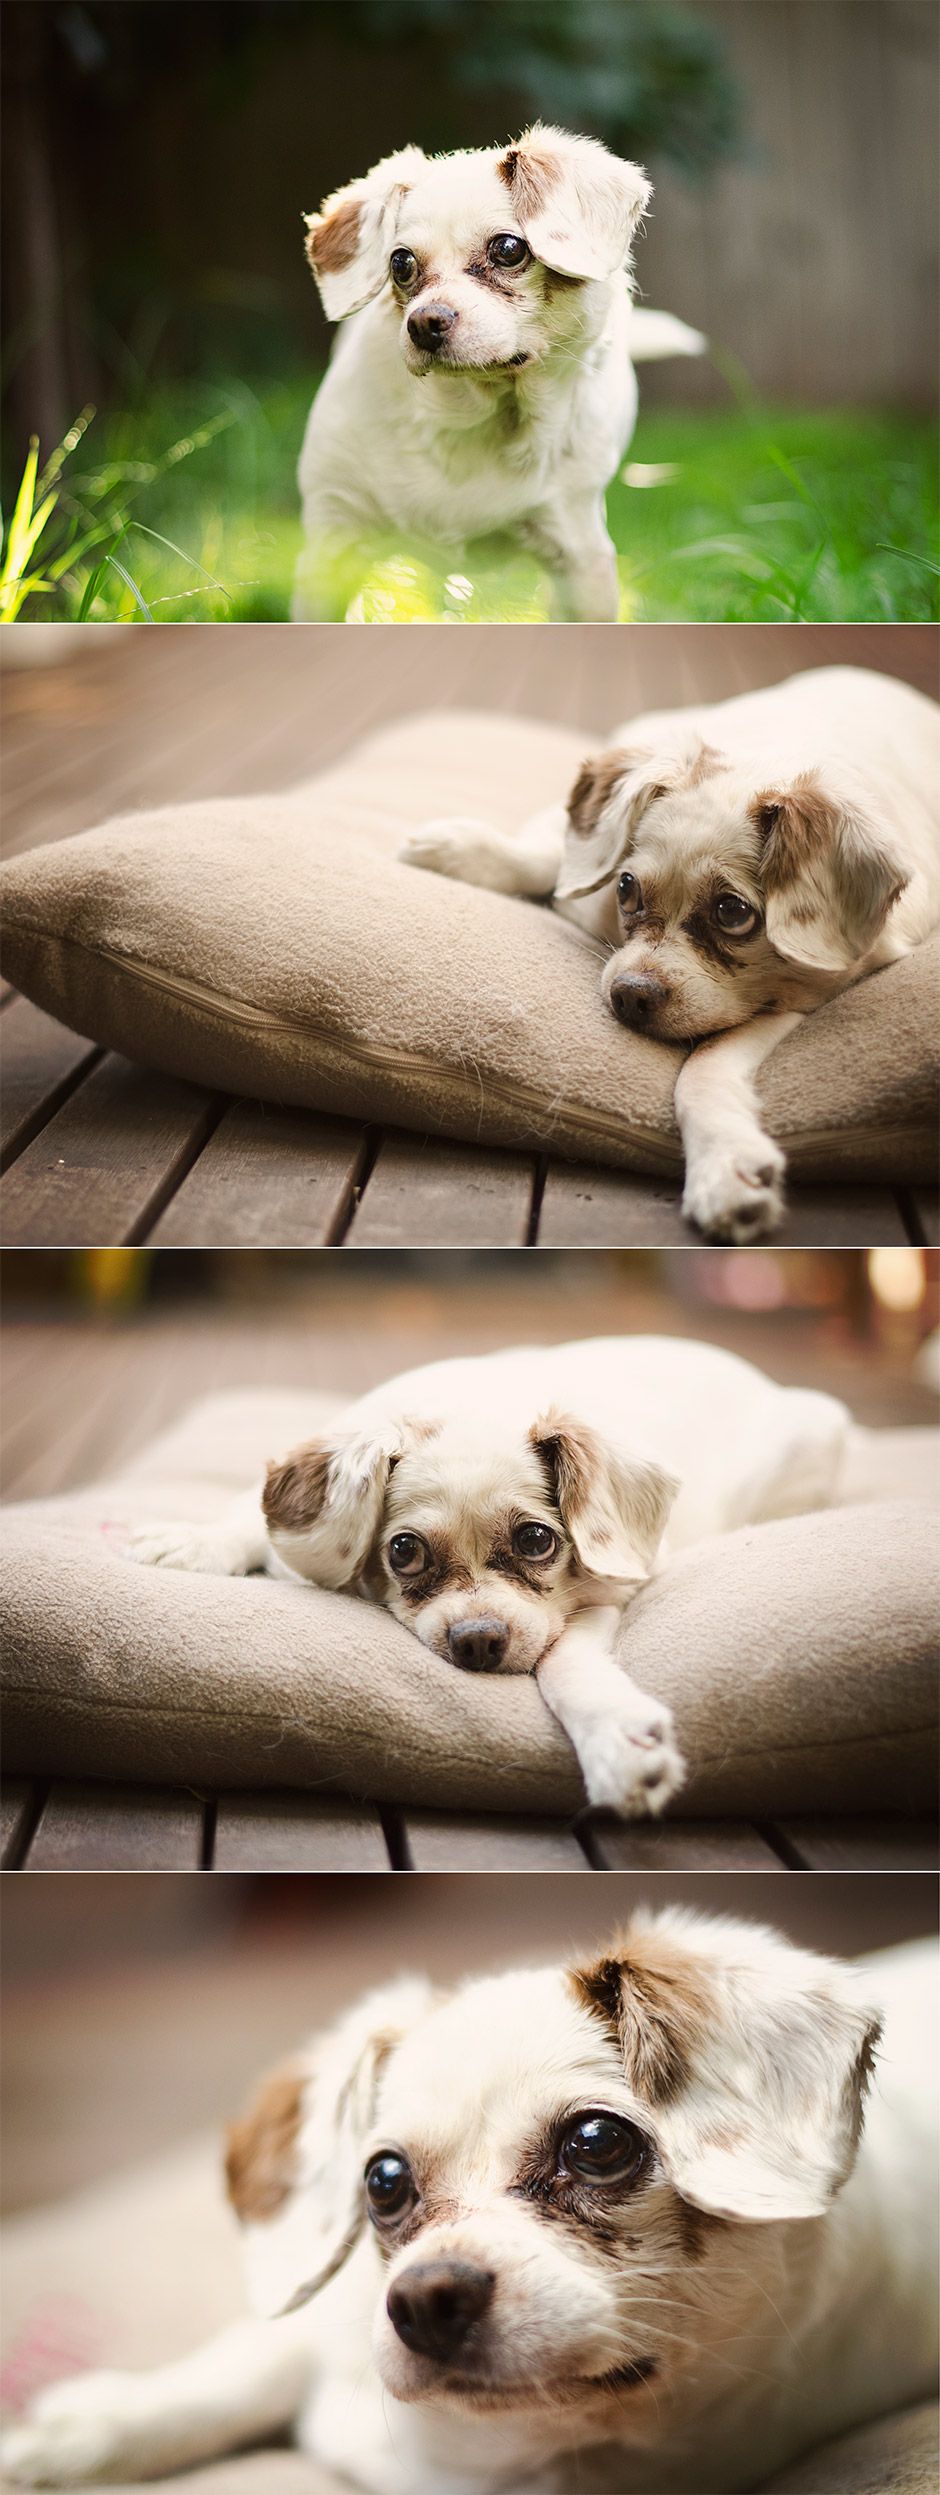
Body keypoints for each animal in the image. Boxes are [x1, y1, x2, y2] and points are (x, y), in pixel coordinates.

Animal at [122, 1337, 842, 1826]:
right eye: (404, 1551)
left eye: (535, 1540)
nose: (476, 1641)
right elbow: (246, 1518)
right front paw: (193, 1540)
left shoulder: (608, 1593)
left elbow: (564, 1662)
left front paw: (616, 1739)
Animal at [294, 124, 703, 621]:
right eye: (400, 263)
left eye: (508, 249)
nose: (423, 323)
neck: (472, 419)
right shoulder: (330, 545)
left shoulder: (583, 559)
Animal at [403, 668, 940, 1242]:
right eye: (626, 887)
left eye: (732, 911)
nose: (629, 996)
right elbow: (553, 856)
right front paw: (455, 849)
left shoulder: (800, 1000)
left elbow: (703, 1068)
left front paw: (724, 1169)